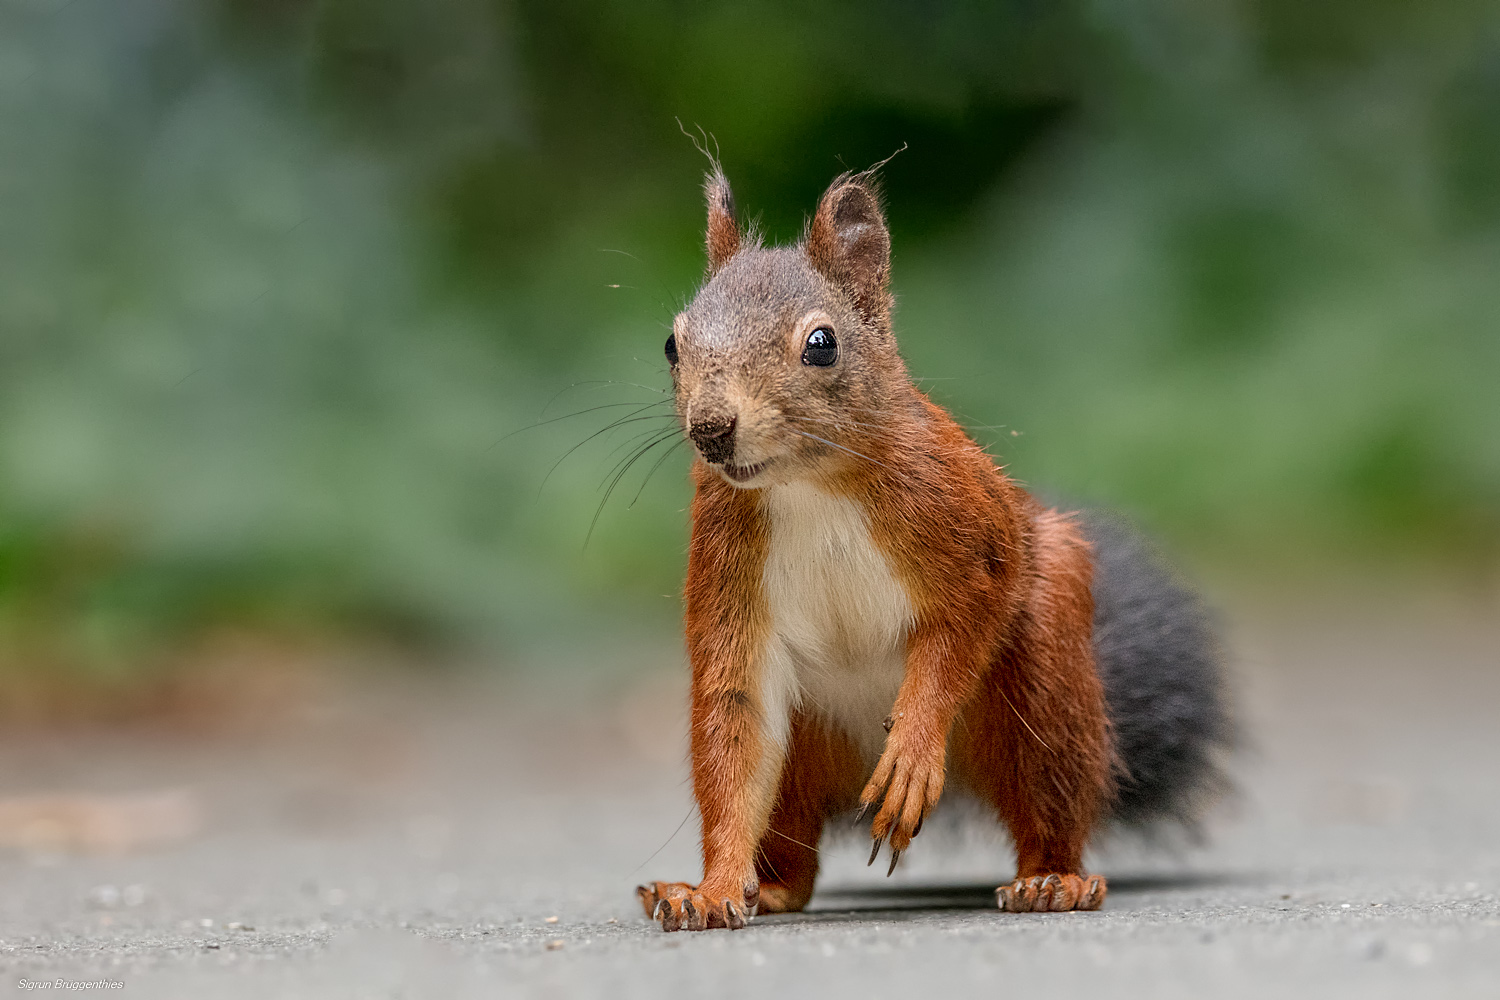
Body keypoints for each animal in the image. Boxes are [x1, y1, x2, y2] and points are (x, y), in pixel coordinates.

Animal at [633, 162, 1230, 929]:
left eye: (821, 343)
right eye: (671, 344)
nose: (711, 428)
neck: (807, 485)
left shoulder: (967, 525)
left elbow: (965, 623)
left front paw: (914, 750)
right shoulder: (724, 564)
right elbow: (736, 721)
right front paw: (711, 890)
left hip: (1046, 682)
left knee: (1049, 795)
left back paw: (1052, 879)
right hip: (807, 744)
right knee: (794, 849)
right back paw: (764, 888)